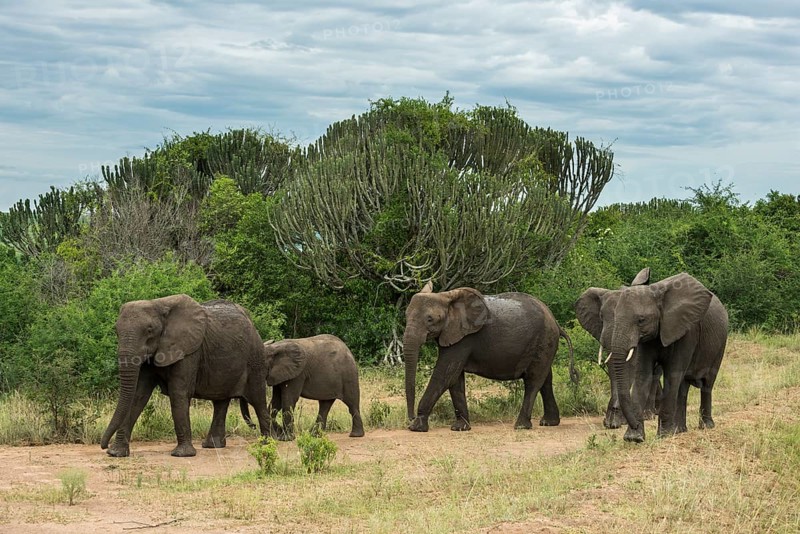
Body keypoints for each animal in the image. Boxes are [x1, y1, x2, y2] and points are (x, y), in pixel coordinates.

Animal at [100, 295, 271, 457]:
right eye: (116, 331)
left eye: (149, 330)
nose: (104, 446)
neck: (159, 304)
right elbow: (138, 395)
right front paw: (116, 453)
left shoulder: (189, 350)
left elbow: (178, 393)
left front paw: (182, 454)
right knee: (220, 401)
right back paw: (213, 446)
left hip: (255, 358)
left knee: (258, 399)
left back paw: (267, 444)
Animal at [403, 282, 576, 433]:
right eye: (406, 316)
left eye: (430, 319)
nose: (410, 418)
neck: (446, 299)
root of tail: (556, 322)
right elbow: (455, 379)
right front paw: (460, 428)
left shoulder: (465, 338)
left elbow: (444, 374)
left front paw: (416, 427)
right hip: (545, 343)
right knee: (546, 379)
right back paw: (549, 422)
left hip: (544, 339)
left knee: (533, 381)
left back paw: (521, 426)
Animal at [576, 269, 728, 443]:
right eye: (601, 317)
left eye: (641, 320)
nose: (634, 424)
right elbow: (642, 374)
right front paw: (634, 437)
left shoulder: (686, 331)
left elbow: (672, 374)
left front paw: (664, 435)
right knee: (683, 386)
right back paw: (680, 430)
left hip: (720, 343)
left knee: (707, 383)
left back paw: (705, 427)